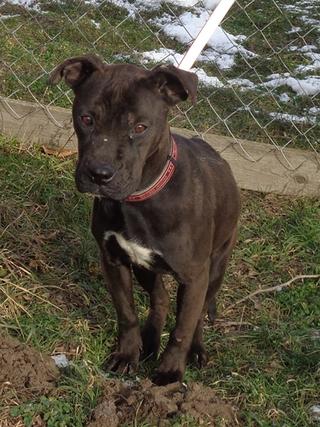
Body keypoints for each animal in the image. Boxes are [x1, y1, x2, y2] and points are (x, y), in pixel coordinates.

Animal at [50, 55, 240, 386]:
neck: (140, 199)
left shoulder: (195, 276)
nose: (99, 174)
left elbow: (183, 328)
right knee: (160, 299)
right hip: (145, 266)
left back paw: (196, 351)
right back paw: (149, 343)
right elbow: (126, 313)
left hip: (217, 265)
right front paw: (128, 355)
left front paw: (170, 373)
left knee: (199, 312)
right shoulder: (114, 260)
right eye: (86, 118)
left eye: (140, 127)